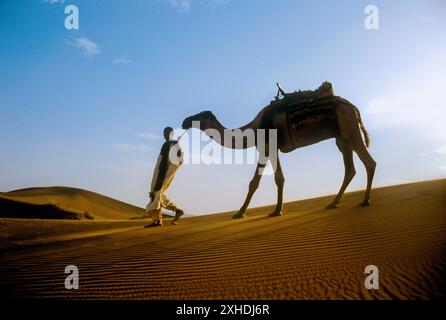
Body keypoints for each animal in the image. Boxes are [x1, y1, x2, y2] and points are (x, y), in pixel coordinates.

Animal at [181, 82, 376, 220]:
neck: (253, 128)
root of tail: (352, 106)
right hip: (342, 138)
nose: (185, 121)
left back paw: (365, 200)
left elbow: (263, 181)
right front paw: (268, 210)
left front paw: (248, 212)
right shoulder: (270, 149)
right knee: (350, 169)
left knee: (369, 162)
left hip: (349, 128)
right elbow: (270, 180)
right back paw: (333, 203)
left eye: (200, 116)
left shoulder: (267, 147)